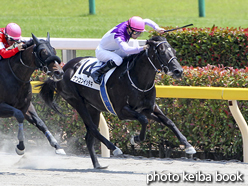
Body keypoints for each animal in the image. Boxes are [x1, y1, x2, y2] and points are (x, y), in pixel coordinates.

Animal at [38, 35, 196, 168]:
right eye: (162, 52)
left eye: (174, 51)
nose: (179, 71)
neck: (137, 80)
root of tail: (63, 69)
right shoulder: (122, 111)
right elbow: (143, 120)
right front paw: (136, 138)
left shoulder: (149, 108)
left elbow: (168, 121)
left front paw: (188, 145)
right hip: (77, 102)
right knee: (93, 129)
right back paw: (114, 149)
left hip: (93, 107)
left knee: (89, 136)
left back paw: (98, 165)